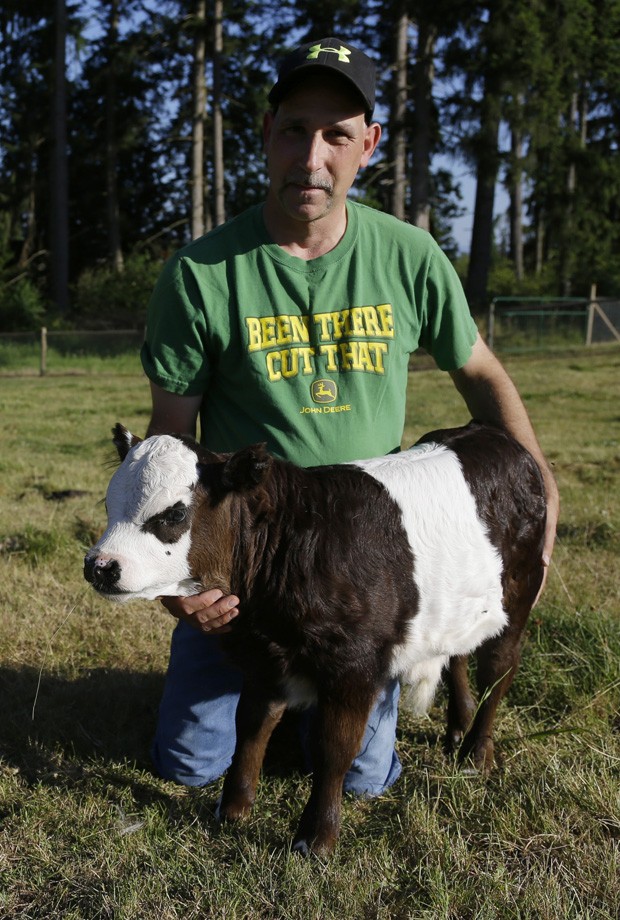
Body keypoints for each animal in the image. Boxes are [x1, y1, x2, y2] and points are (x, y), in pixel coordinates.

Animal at [85, 422, 544, 856]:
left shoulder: (354, 665)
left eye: (174, 514)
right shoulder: (264, 658)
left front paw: (316, 838)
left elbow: (334, 748)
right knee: (458, 654)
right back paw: (457, 729)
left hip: (519, 594)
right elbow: (251, 726)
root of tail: (496, 437)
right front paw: (232, 809)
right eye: (109, 505)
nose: (99, 565)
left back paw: (476, 754)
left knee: (498, 671)